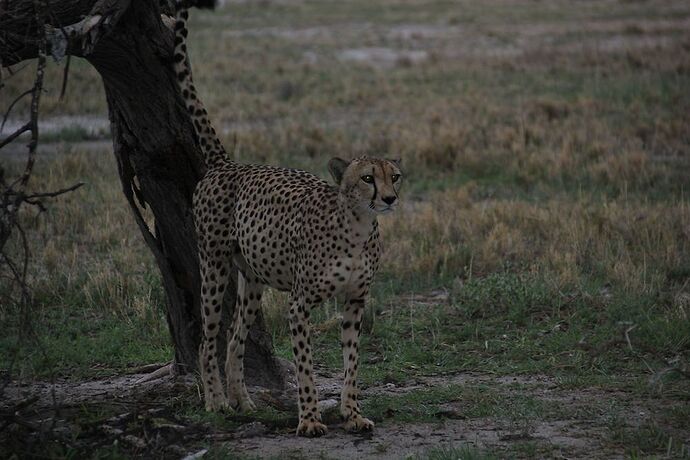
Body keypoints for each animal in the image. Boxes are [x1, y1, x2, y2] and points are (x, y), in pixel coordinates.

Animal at [172, 1, 400, 436]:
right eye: (367, 178)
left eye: (393, 176)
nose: (391, 198)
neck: (357, 228)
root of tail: (228, 164)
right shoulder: (300, 305)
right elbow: (306, 368)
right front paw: (309, 419)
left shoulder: (355, 301)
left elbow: (352, 364)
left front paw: (352, 413)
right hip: (214, 265)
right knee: (208, 339)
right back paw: (215, 401)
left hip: (252, 279)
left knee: (235, 339)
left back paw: (243, 401)